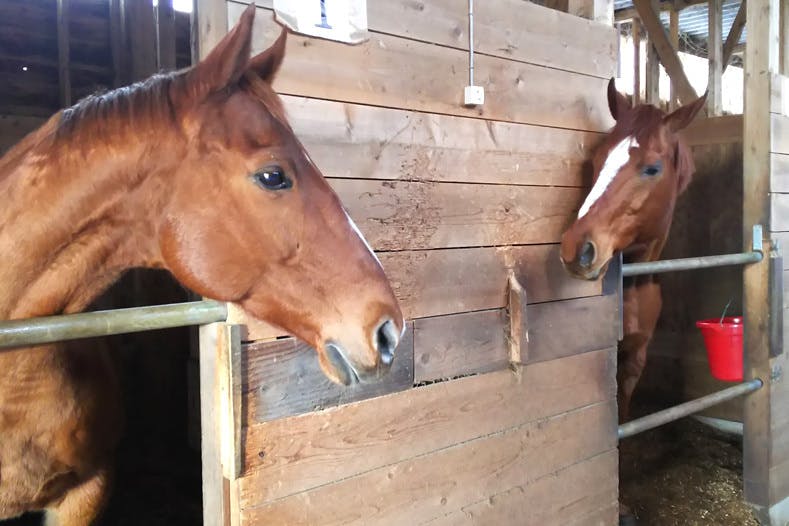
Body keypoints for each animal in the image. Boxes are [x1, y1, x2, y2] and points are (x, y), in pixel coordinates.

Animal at [559, 79, 706, 524]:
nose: (576, 249)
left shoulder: (635, 357)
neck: (634, 287)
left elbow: (622, 416)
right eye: (595, 160)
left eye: (652, 169)